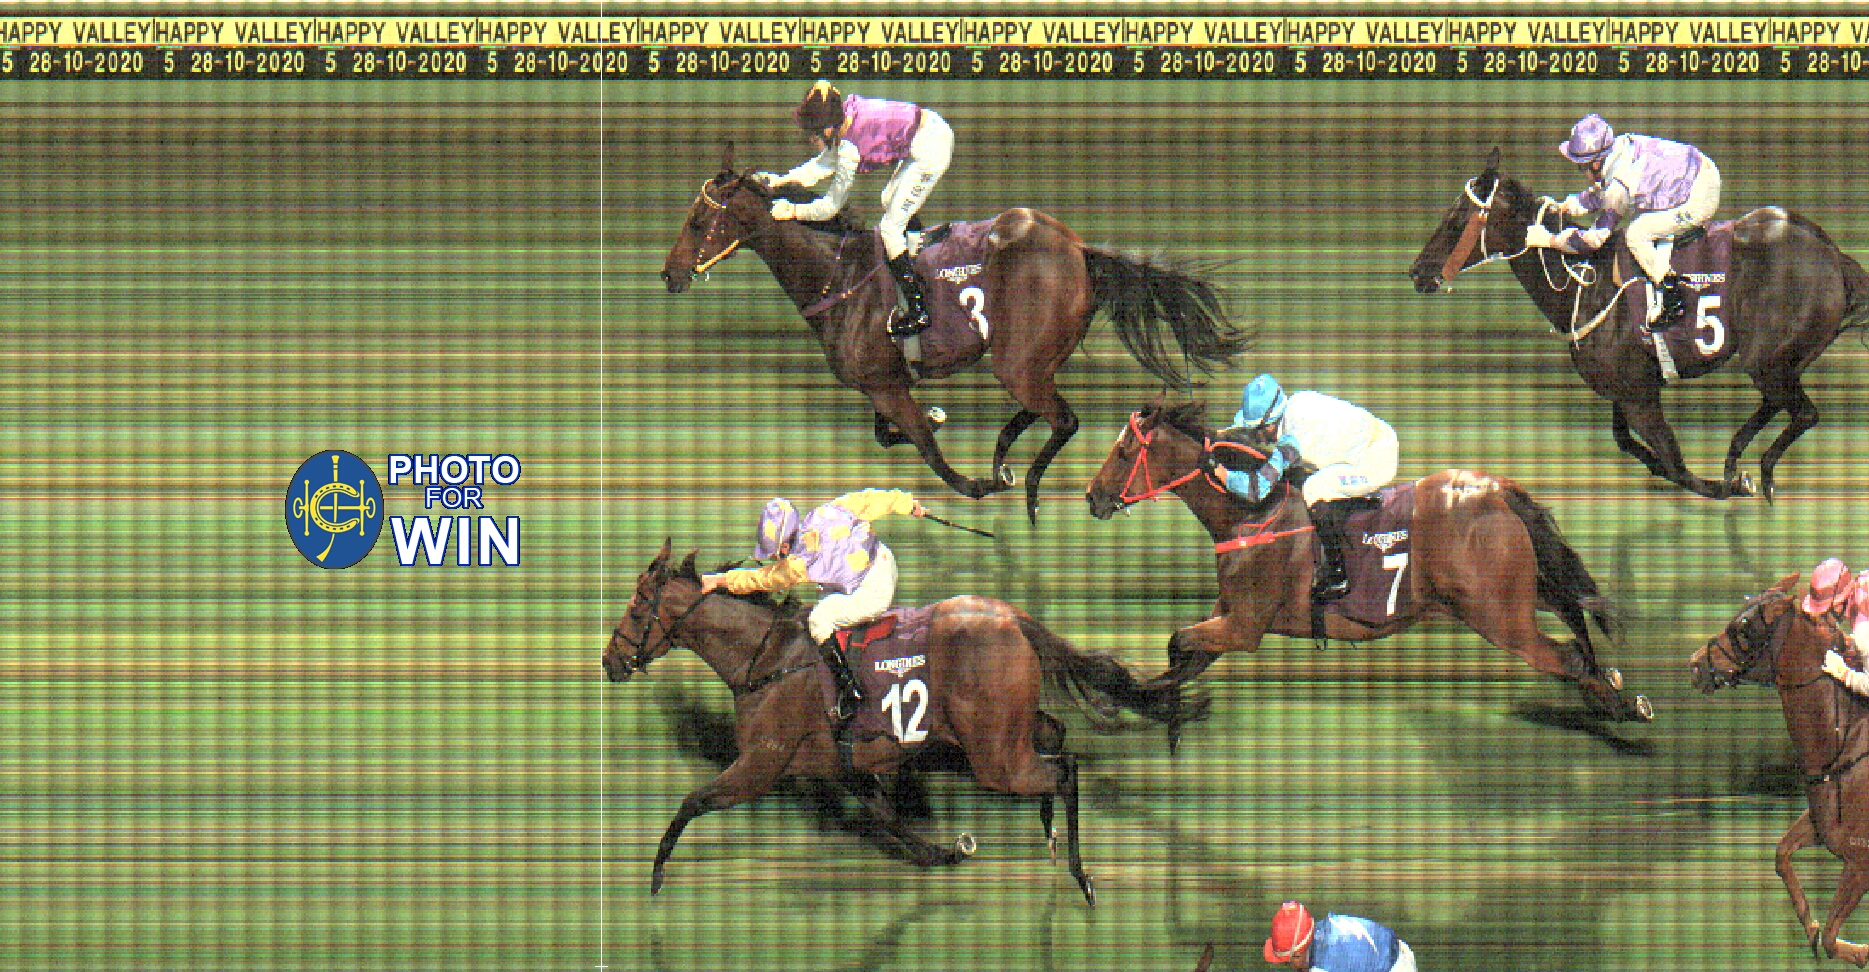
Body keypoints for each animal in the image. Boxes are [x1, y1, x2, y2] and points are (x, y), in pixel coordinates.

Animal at [604, 539, 1205, 906]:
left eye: (635, 608)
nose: (610, 662)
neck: (767, 659)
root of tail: (1012, 616)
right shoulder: (845, 766)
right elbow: (886, 818)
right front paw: (943, 852)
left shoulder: (760, 764)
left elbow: (693, 801)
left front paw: (655, 877)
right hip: (1002, 731)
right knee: (1056, 737)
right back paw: (1049, 831)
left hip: (992, 755)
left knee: (1064, 767)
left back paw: (1080, 874)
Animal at [662, 144, 1250, 521]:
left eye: (697, 222)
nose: (668, 274)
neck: (840, 277)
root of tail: (1080, 249)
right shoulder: (884, 383)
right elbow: (892, 434)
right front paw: (940, 417)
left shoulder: (885, 386)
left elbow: (931, 454)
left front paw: (976, 479)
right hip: (1031, 361)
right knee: (1042, 409)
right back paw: (1005, 454)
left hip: (1016, 362)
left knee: (1064, 417)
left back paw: (1024, 484)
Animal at [1083, 396, 1653, 738]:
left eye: (1124, 450)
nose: (1092, 497)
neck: (1251, 512)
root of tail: (1497, 491)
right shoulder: (1230, 615)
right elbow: (1181, 657)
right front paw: (1130, 696)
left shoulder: (1245, 627)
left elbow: (1178, 644)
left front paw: (1118, 694)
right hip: (1522, 592)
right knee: (1574, 614)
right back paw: (1616, 691)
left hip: (1499, 618)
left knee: (1565, 654)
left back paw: (1621, 707)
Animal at [1408, 148, 1869, 501]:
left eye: (1454, 222)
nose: (1416, 273)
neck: (1584, 286)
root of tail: (1834, 255)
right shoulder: (1626, 388)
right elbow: (1630, 444)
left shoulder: (1640, 395)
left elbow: (1676, 466)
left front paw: (1733, 487)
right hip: (1779, 360)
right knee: (1781, 402)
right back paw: (1737, 457)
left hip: (1767, 358)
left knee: (1804, 412)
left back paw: (1762, 472)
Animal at [1691, 573, 1869, 967]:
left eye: (1744, 626)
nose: (1694, 664)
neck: (1844, 748)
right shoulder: (1822, 829)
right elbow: (1781, 854)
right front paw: (1810, 925)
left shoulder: (1860, 862)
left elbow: (1832, 939)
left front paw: (1860, 951)